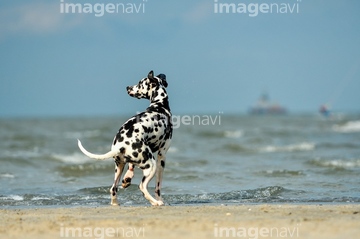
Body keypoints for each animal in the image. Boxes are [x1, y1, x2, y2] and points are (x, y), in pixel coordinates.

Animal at [77, 70, 173, 205]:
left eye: (139, 83)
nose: (127, 87)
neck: (159, 106)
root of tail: (121, 145)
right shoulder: (162, 155)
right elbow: (158, 187)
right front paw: (160, 199)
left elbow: (131, 166)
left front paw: (127, 178)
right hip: (151, 165)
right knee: (142, 187)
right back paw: (156, 202)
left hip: (119, 166)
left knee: (113, 188)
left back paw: (116, 203)